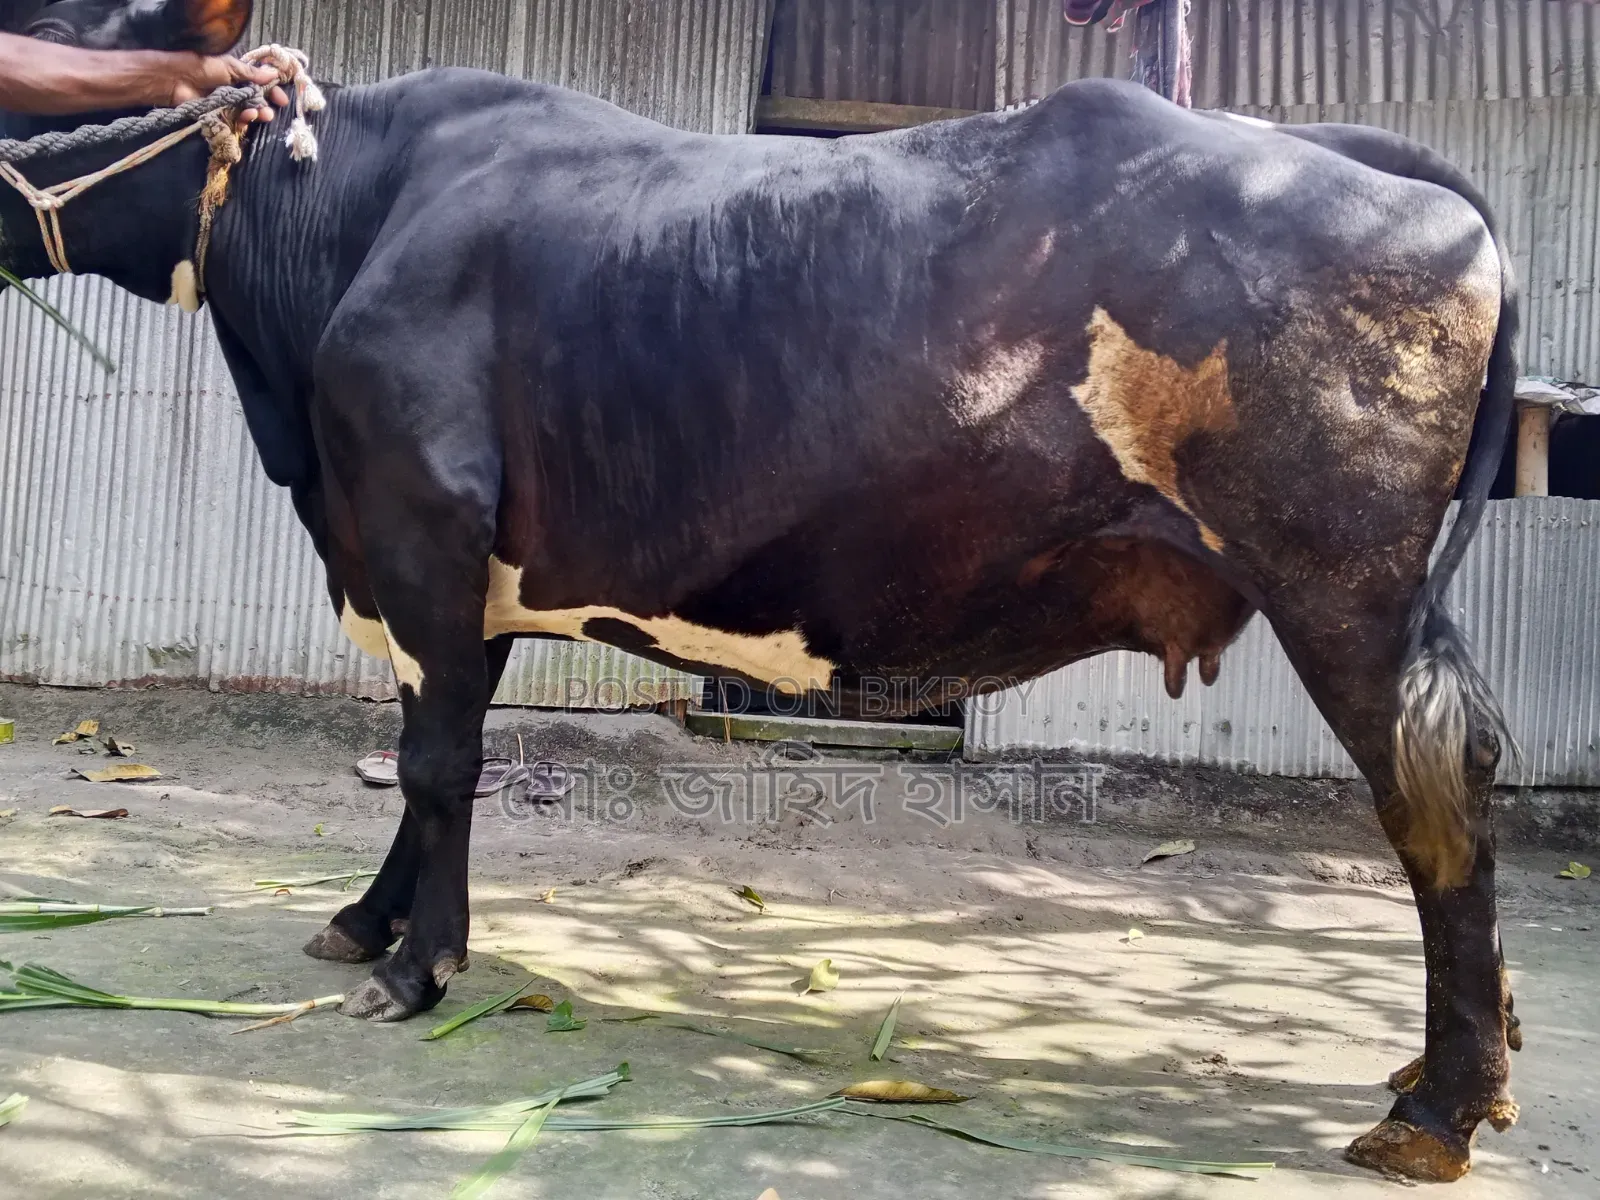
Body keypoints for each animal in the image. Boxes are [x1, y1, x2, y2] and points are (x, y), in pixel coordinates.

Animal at [1, 0, 1522, 1182]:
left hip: (1340, 586)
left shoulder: (419, 521)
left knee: (1430, 797)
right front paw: (372, 921)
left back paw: (1439, 1108)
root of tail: (1351, 156)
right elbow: (443, 754)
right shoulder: (461, 572)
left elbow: (432, 760)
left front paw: (413, 969)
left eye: (54, 36)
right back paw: (1453, 1075)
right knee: (1467, 758)